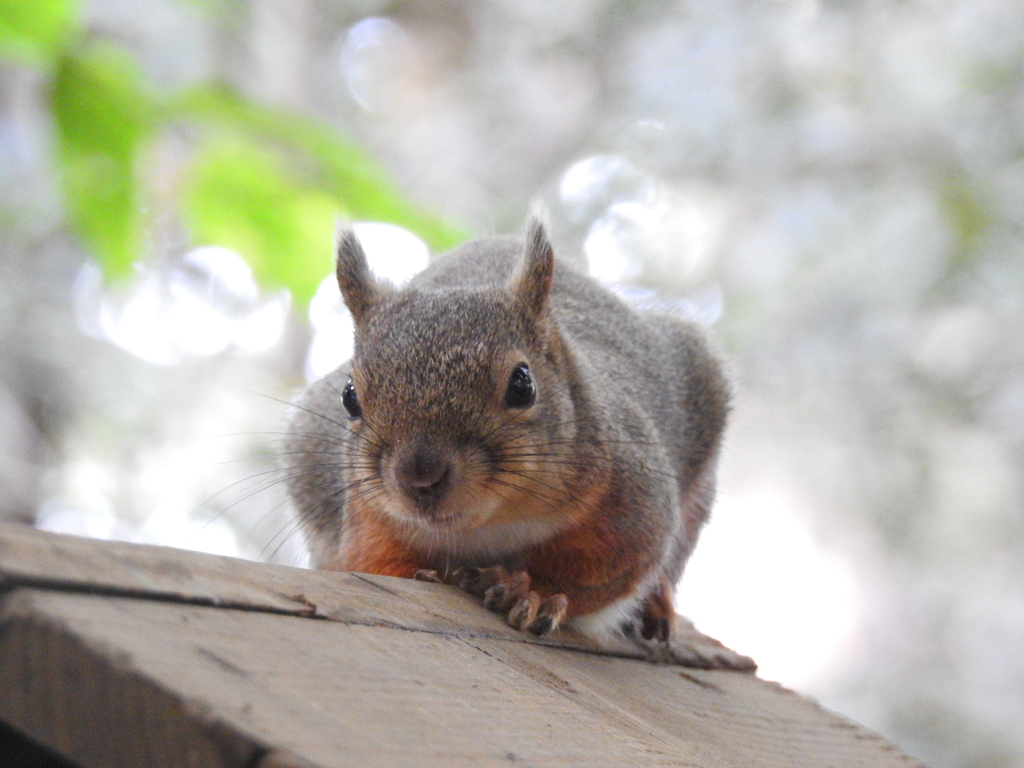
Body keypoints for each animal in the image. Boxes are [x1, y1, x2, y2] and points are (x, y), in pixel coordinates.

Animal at [284, 215, 757, 667]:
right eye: (349, 397)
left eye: (522, 385)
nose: (420, 478)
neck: (489, 525)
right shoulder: (369, 519)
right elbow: (375, 563)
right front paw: (433, 574)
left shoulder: (635, 498)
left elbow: (605, 570)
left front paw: (532, 593)